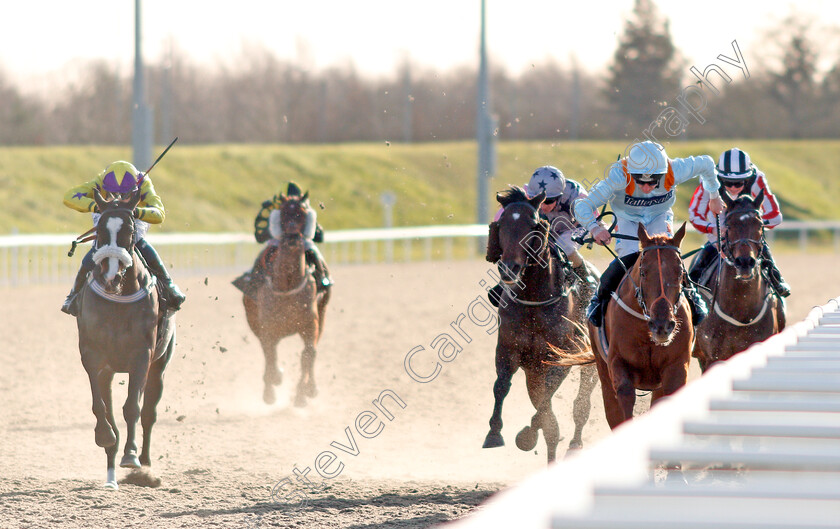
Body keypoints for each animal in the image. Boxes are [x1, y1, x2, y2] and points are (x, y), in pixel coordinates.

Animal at [76, 188, 176, 488]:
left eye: (130, 231)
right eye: (99, 230)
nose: (110, 276)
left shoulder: (141, 355)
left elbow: (133, 407)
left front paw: (131, 455)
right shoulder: (93, 355)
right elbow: (101, 407)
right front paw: (106, 437)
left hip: (160, 365)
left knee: (149, 414)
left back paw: (144, 465)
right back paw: (111, 473)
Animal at [241, 192, 330, 406]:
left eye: (302, 213)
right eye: (282, 213)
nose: (291, 237)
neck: (288, 283)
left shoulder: (310, 323)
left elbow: (308, 354)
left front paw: (302, 393)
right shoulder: (266, 324)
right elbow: (269, 352)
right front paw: (272, 385)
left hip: (322, 312)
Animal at [482, 187, 600, 462]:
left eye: (533, 225)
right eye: (502, 224)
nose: (509, 268)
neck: (534, 301)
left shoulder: (561, 357)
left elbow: (546, 404)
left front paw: (527, 436)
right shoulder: (509, 351)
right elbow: (501, 386)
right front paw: (494, 433)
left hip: (590, 363)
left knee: (581, 404)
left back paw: (574, 443)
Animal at [588, 223, 692, 428]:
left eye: (680, 273)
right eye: (644, 272)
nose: (662, 325)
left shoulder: (676, 366)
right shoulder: (617, 362)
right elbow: (624, 395)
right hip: (601, 367)